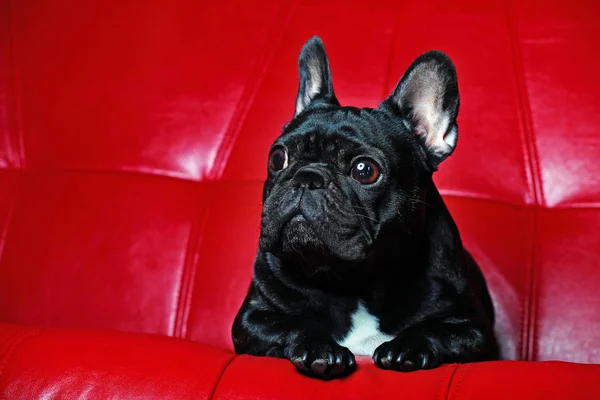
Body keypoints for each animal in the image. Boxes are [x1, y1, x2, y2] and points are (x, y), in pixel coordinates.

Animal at [232, 37, 494, 382]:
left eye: (364, 170)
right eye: (277, 158)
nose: (307, 177)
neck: (355, 279)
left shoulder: (472, 329)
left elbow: (434, 330)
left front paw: (405, 347)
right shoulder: (253, 318)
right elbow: (294, 323)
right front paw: (320, 347)